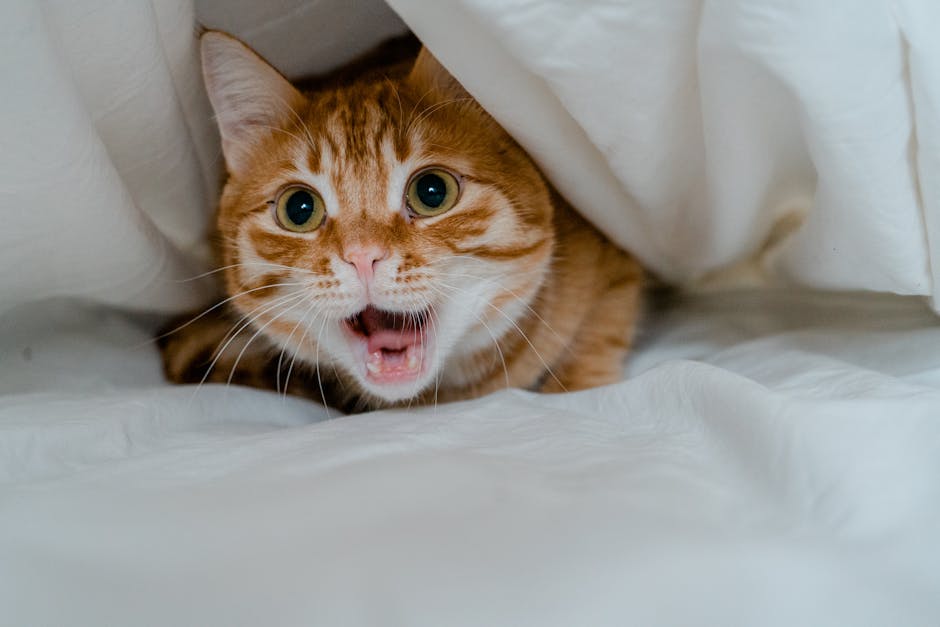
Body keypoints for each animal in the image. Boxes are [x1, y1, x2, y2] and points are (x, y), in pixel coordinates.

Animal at [163, 29, 648, 414]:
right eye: (298, 208)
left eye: (432, 191)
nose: (362, 257)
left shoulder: (615, 253)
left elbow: (598, 336)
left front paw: (578, 391)